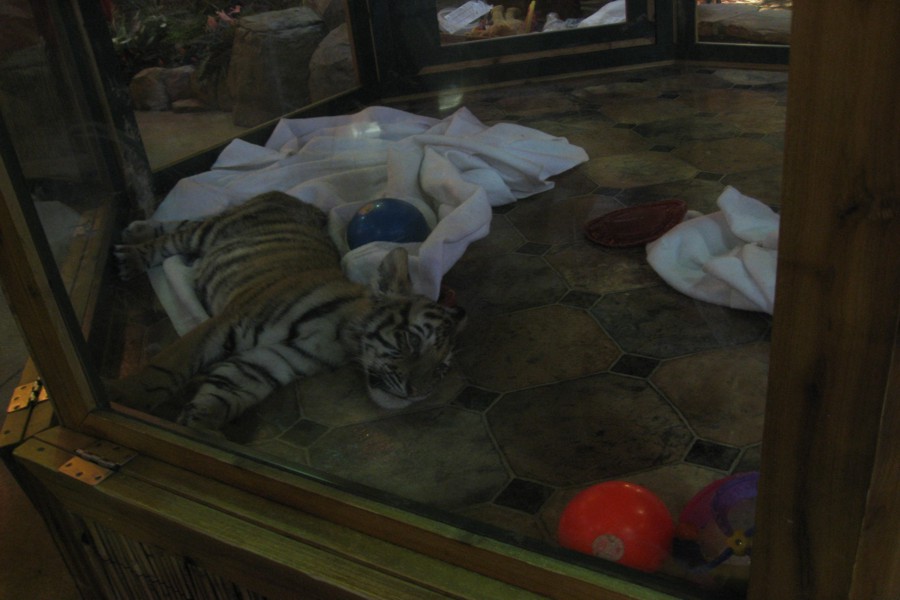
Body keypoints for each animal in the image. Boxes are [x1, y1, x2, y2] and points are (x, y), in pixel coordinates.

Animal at [108, 191, 466, 430]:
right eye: (411, 341)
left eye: (441, 369)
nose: (417, 395)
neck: (339, 339)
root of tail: (293, 198)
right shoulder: (226, 323)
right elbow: (166, 368)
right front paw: (122, 400)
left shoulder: (269, 361)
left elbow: (225, 391)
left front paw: (198, 421)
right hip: (209, 232)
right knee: (175, 237)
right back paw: (131, 254)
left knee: (182, 226)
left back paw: (135, 230)